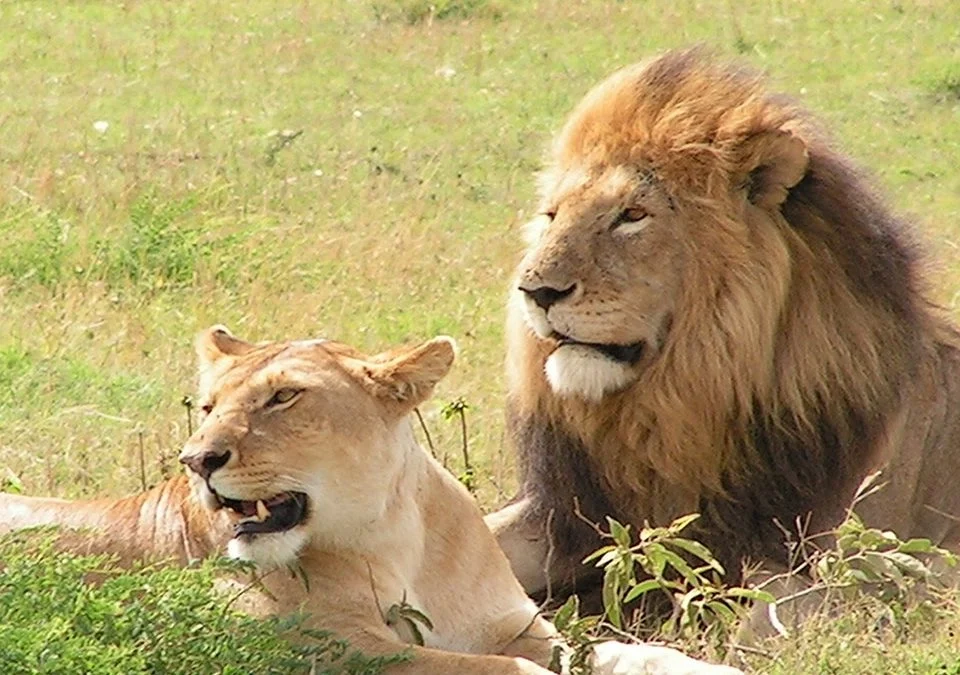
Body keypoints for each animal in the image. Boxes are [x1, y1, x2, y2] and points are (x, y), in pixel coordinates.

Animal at [1, 326, 739, 675]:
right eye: (208, 408)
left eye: (282, 397)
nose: (197, 461)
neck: (394, 536)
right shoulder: (328, 649)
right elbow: (502, 669)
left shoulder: (517, 625)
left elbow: (621, 652)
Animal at [486, 48, 960, 610]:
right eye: (552, 215)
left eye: (632, 215)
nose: (534, 291)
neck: (680, 403)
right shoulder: (570, 515)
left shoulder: (859, 562)